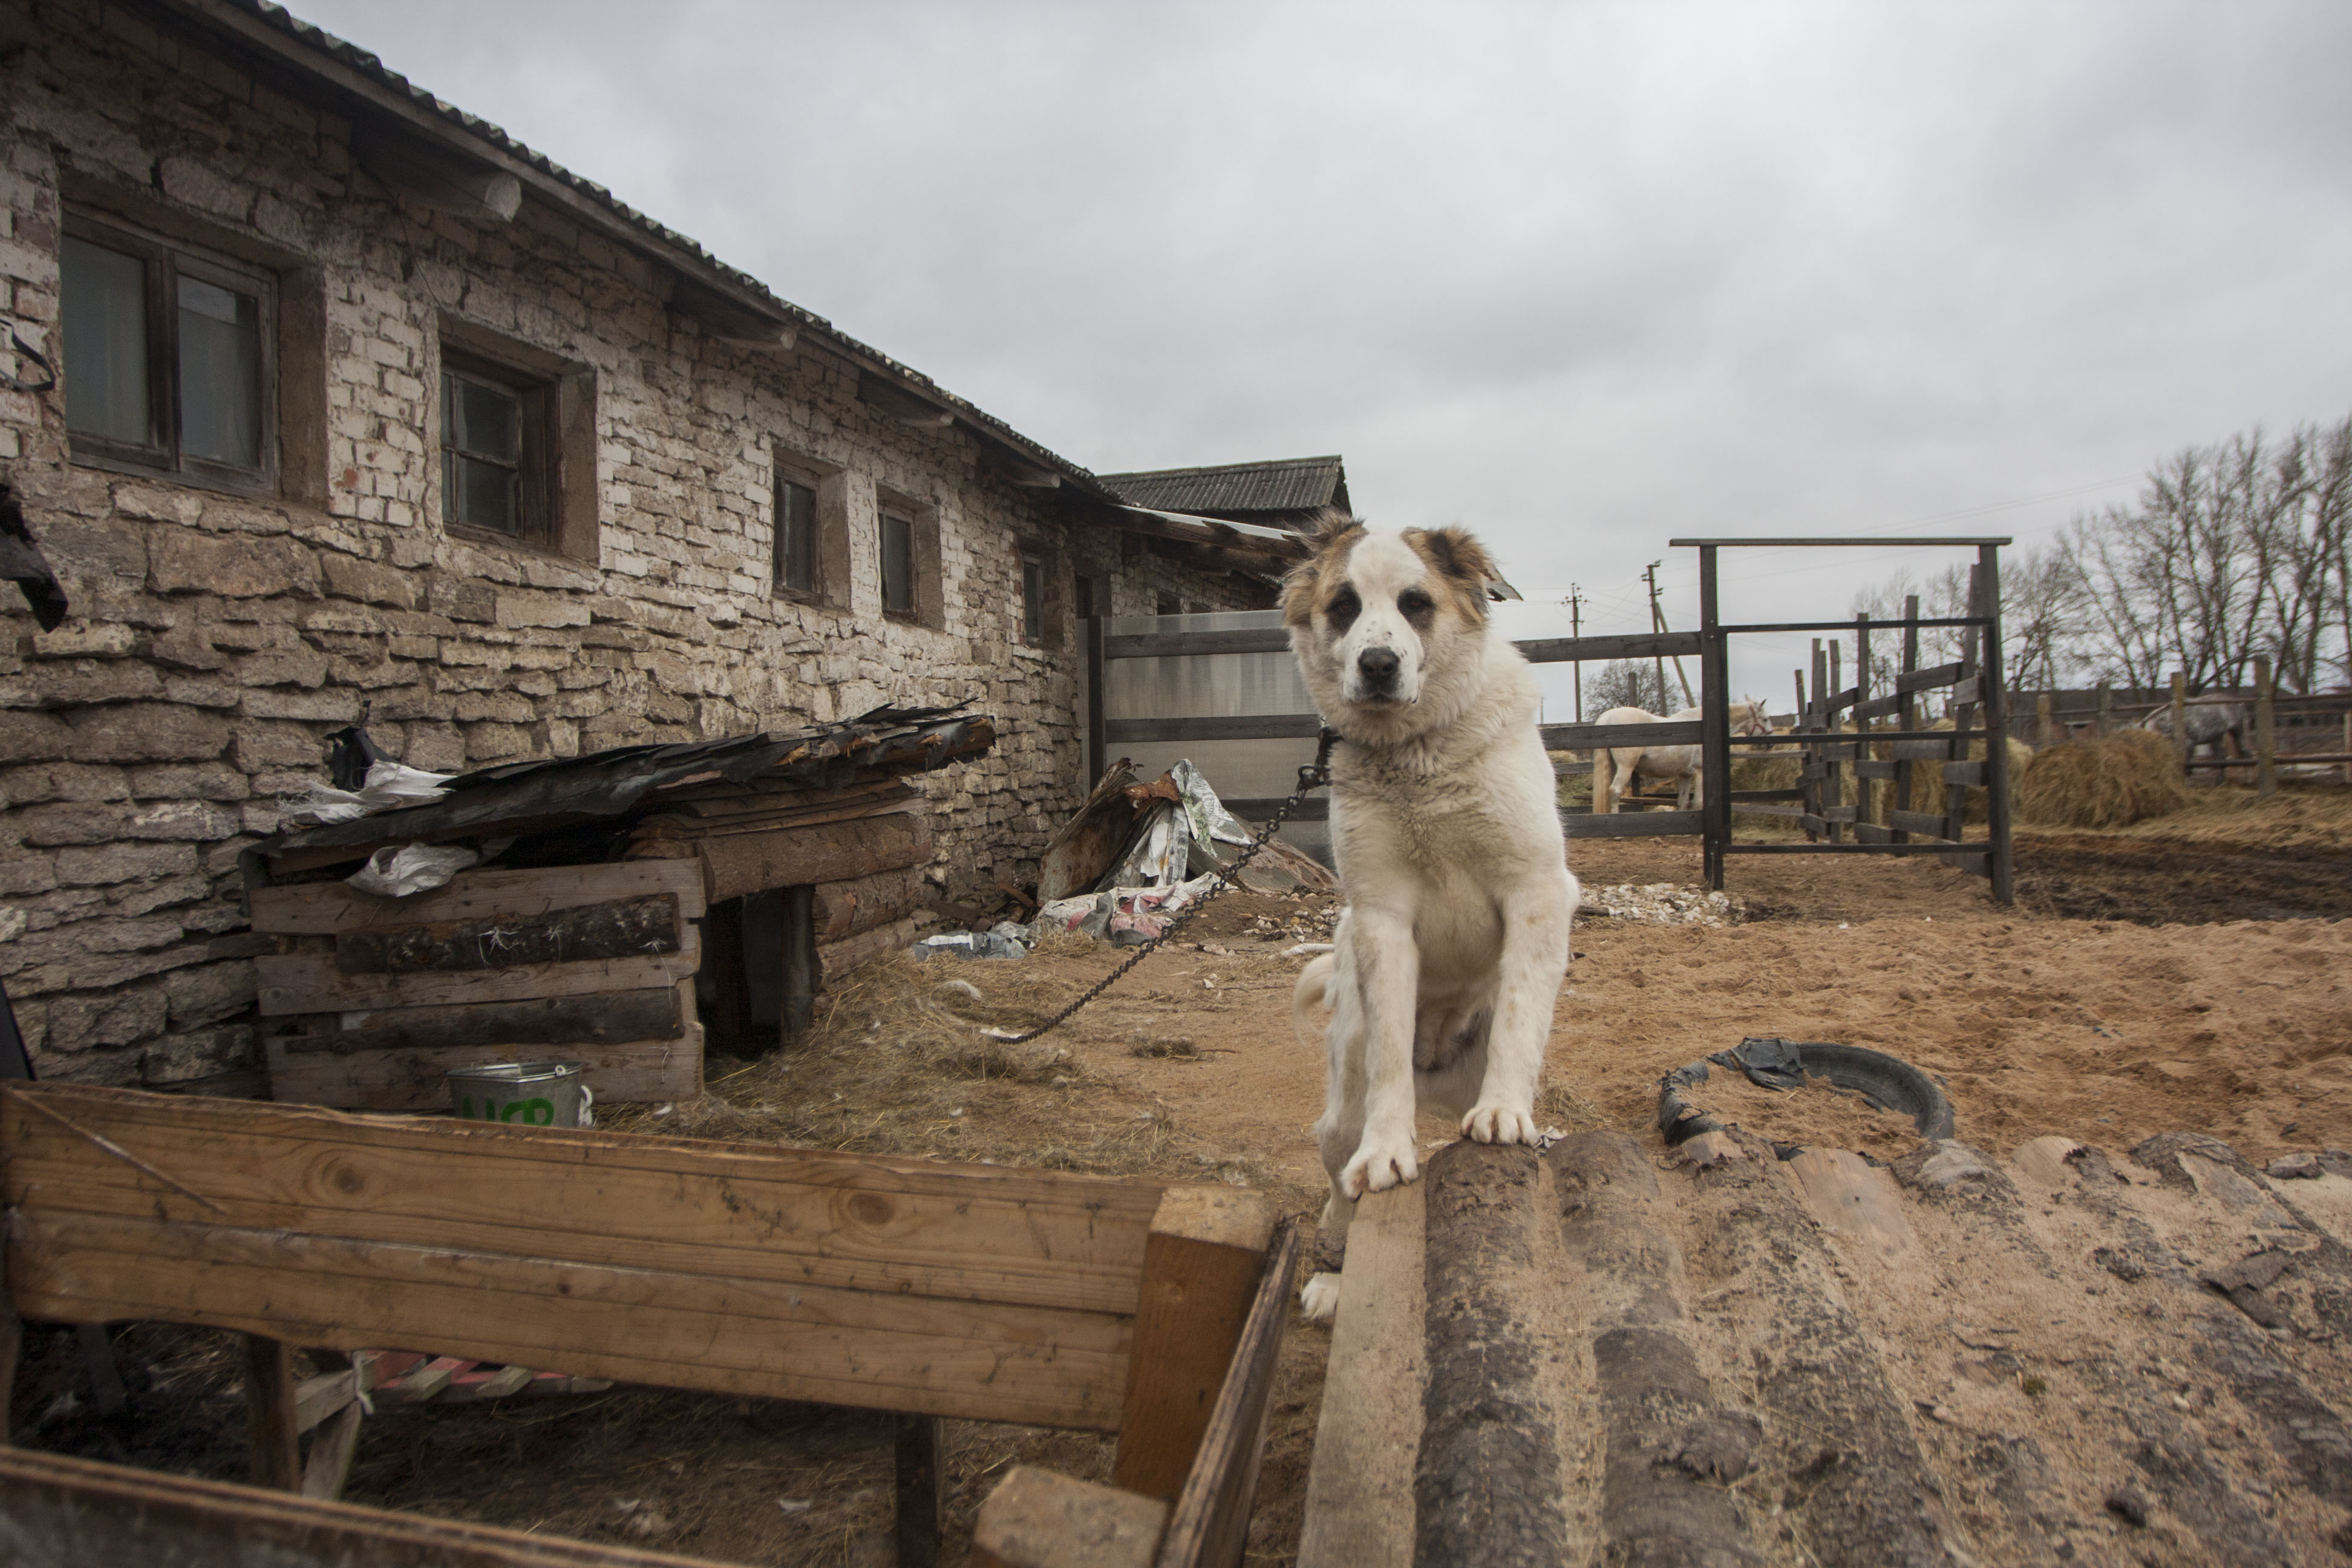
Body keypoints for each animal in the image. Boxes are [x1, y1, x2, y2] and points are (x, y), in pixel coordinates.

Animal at [1289, 517, 1580, 1325]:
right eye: (1344, 606)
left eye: (1416, 604)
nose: (1379, 664)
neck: (1421, 758)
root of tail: (1441, 1078)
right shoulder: (1382, 919)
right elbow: (1391, 1056)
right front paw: (1390, 1152)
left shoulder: (1537, 890)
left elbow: (1519, 1017)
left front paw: (1505, 1112)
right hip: (1340, 1115)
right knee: (1339, 1188)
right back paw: (1334, 1275)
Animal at [1599, 701, 1768, 818]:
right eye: (1766, 719)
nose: (1770, 743)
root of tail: (1608, 716)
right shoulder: (1700, 772)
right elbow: (1699, 801)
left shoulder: (1685, 775)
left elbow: (1684, 800)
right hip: (1626, 767)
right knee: (1615, 791)